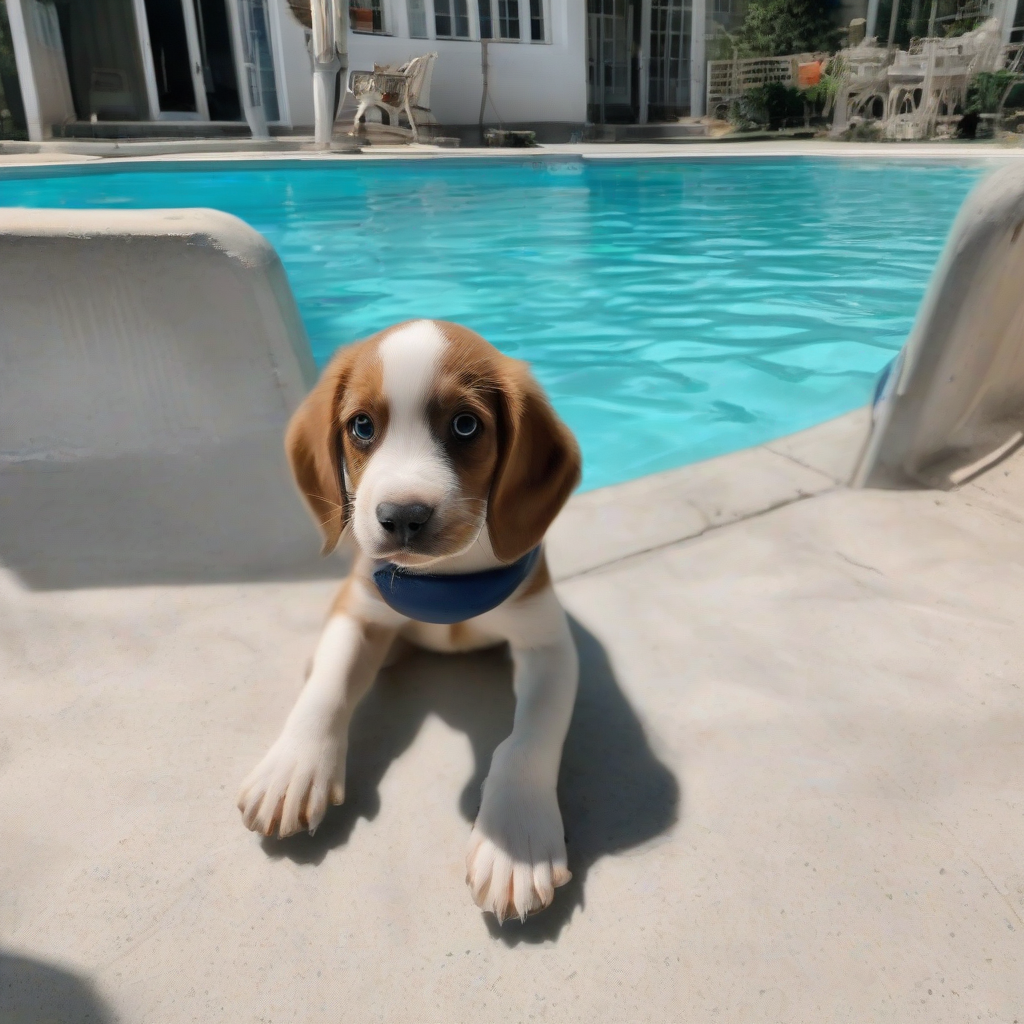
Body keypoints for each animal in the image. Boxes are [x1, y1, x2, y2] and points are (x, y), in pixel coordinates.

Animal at [234, 317, 581, 921]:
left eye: (466, 425)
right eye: (361, 426)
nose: (402, 517)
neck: (441, 582)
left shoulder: (548, 644)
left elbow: (527, 740)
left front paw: (514, 840)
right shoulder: (358, 611)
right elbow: (325, 688)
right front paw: (293, 767)